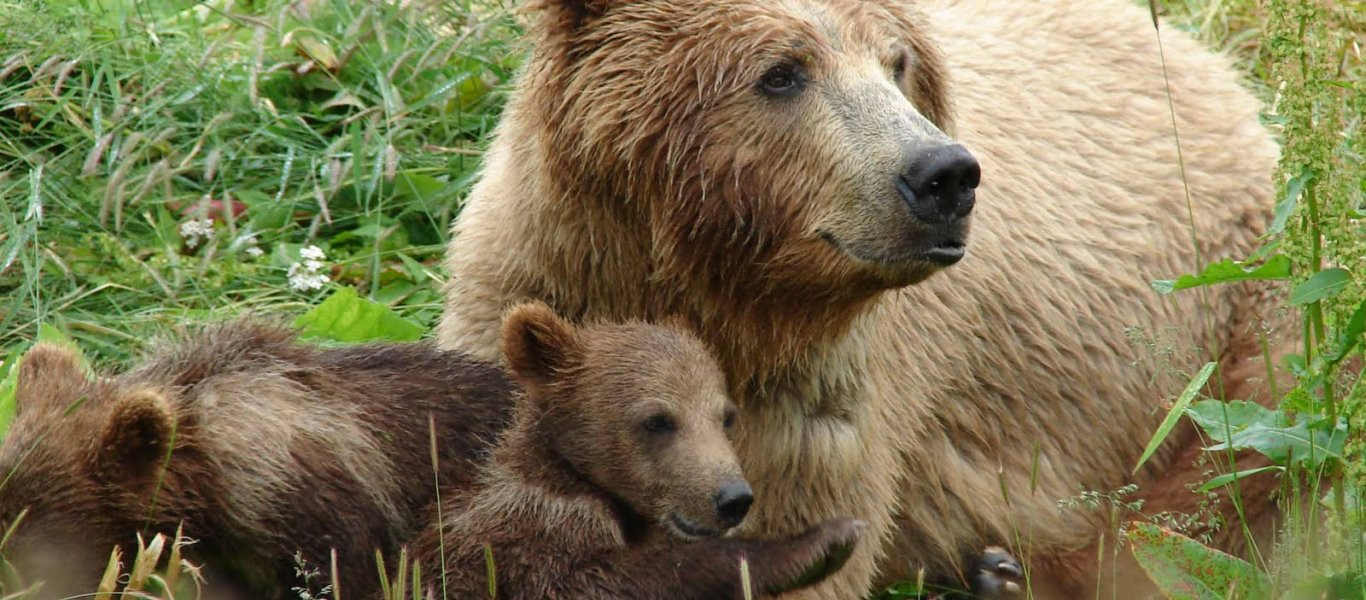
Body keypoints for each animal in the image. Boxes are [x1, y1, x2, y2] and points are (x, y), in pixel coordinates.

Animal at [437, 2, 1278, 598]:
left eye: (897, 62)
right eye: (782, 71)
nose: (943, 175)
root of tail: (1208, 60)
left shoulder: (825, 403)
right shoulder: (537, 291)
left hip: (1238, 308)